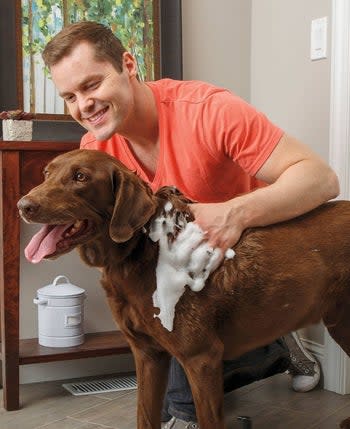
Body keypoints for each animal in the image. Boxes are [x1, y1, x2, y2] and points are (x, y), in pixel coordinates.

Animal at [17, 149, 350, 426]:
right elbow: (145, 415)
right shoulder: (148, 355)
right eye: (46, 173)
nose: (23, 205)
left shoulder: (201, 358)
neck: (138, 252)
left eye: (81, 177)